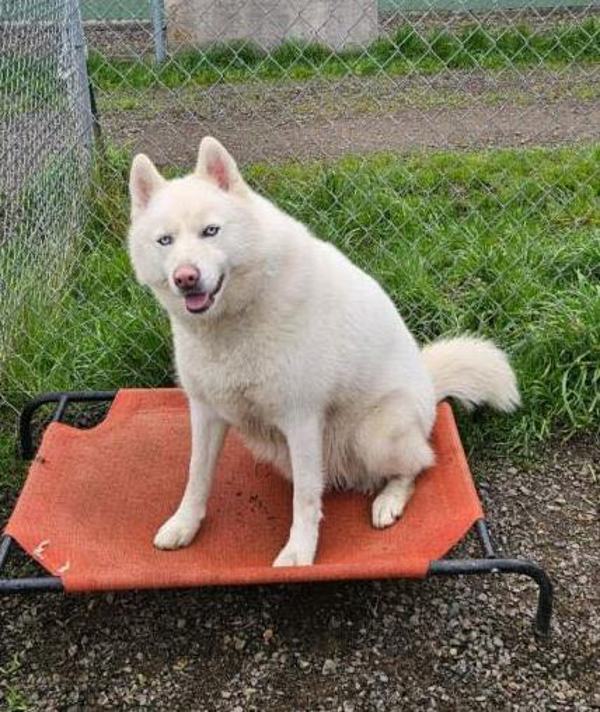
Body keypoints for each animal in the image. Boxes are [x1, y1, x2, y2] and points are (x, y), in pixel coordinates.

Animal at [127, 138, 520, 568]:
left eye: (210, 231)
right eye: (165, 240)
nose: (185, 278)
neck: (232, 325)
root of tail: (429, 387)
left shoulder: (300, 419)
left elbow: (304, 499)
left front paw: (299, 553)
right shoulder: (205, 412)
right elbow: (197, 476)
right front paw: (184, 525)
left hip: (374, 434)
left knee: (419, 464)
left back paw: (389, 501)